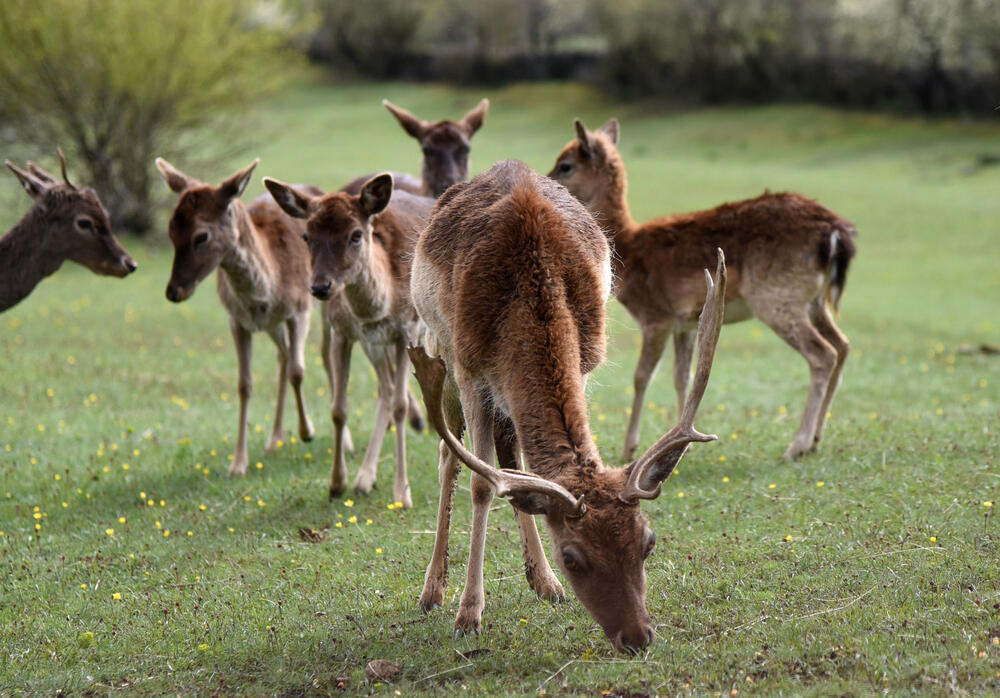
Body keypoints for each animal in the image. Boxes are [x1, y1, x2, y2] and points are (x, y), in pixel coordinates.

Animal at [155, 157, 316, 474]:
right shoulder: (237, 320)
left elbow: (299, 371)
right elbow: (244, 384)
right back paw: (274, 439)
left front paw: (307, 432)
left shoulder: (301, 309)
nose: (173, 291)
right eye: (170, 230)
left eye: (201, 236)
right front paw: (238, 463)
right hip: (272, 325)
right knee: (282, 355)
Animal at [264, 171, 432, 506]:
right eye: (306, 236)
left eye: (355, 234)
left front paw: (402, 493)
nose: (320, 286)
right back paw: (364, 479)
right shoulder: (344, 331)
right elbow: (339, 409)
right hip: (373, 345)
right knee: (385, 388)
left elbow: (401, 406)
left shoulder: (406, 330)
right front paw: (336, 483)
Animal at [406, 159, 728, 652]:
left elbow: (522, 475)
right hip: (438, 349)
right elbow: (482, 485)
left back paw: (543, 583)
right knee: (450, 457)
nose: (639, 637)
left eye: (648, 542)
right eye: (573, 557)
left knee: (511, 460)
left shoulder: (585, 360)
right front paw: (469, 615)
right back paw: (432, 591)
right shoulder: (469, 369)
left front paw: (540, 582)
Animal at [552, 118, 856, 462]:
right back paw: (816, 439)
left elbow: (642, 376)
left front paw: (630, 446)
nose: (546, 183)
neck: (629, 252)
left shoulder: (656, 316)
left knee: (823, 353)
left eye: (565, 165)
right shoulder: (684, 322)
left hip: (778, 296)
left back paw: (797, 445)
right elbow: (682, 376)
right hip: (814, 300)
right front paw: (679, 444)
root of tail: (836, 234)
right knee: (843, 345)